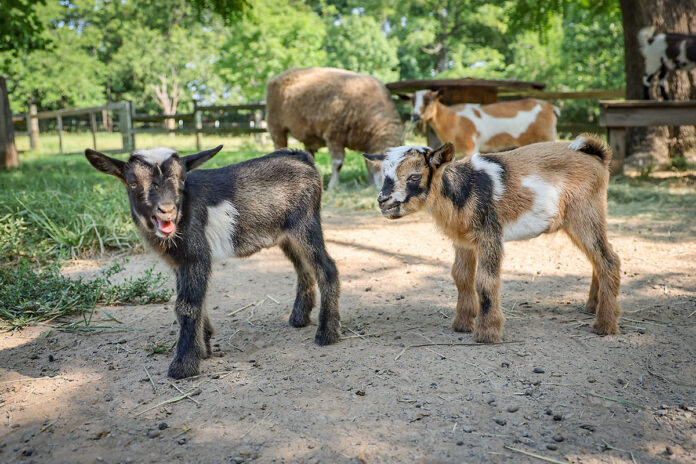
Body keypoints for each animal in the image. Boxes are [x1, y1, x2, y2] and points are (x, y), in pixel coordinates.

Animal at [85, 146, 341, 378]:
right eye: (133, 183)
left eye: (182, 178)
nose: (167, 210)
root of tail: (302, 158)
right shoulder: (179, 264)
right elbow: (196, 302)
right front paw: (204, 347)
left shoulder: (196, 255)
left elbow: (186, 305)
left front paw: (184, 365)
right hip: (285, 235)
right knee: (304, 268)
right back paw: (299, 318)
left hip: (305, 224)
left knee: (327, 268)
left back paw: (326, 333)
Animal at [266, 67, 404, 189]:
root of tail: (276, 78)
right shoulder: (334, 135)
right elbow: (338, 163)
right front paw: (333, 186)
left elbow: (367, 163)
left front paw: (370, 184)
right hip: (276, 127)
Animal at [364, 135, 621, 343]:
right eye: (385, 175)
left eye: (415, 176)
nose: (383, 201)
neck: (463, 189)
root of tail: (598, 157)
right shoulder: (464, 241)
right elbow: (461, 277)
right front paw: (462, 324)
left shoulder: (491, 234)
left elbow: (485, 281)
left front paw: (487, 333)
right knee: (598, 259)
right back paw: (592, 308)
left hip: (584, 213)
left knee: (609, 260)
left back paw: (604, 325)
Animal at [409, 90, 558, 156]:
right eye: (412, 101)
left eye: (428, 100)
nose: (414, 116)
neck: (453, 119)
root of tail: (550, 107)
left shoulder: (471, 148)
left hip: (547, 138)